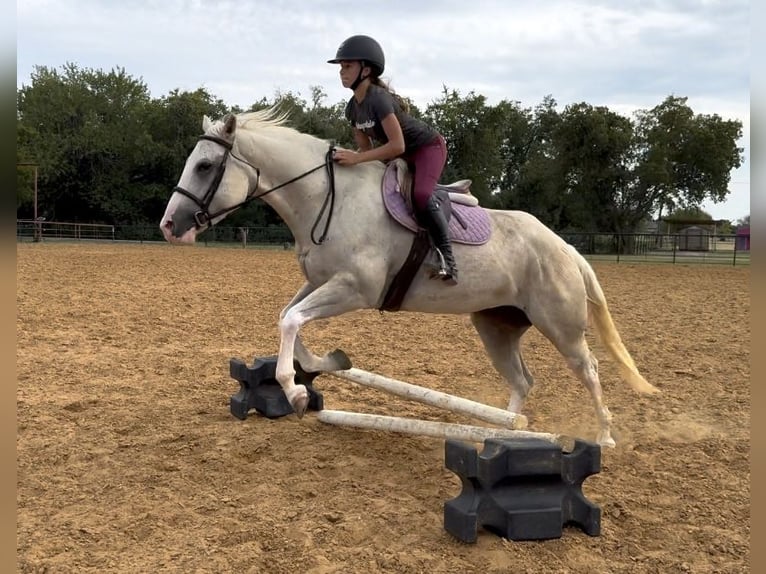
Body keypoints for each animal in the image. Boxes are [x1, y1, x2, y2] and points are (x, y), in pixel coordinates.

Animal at [159, 108, 659, 447]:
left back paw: (605, 436)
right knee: (521, 382)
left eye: (205, 166)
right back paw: (499, 428)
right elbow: (289, 320)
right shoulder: (320, 282)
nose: (168, 226)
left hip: (561, 326)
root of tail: (566, 249)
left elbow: (291, 322)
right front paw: (325, 365)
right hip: (495, 326)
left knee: (589, 369)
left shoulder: (354, 289)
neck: (327, 198)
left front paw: (294, 390)